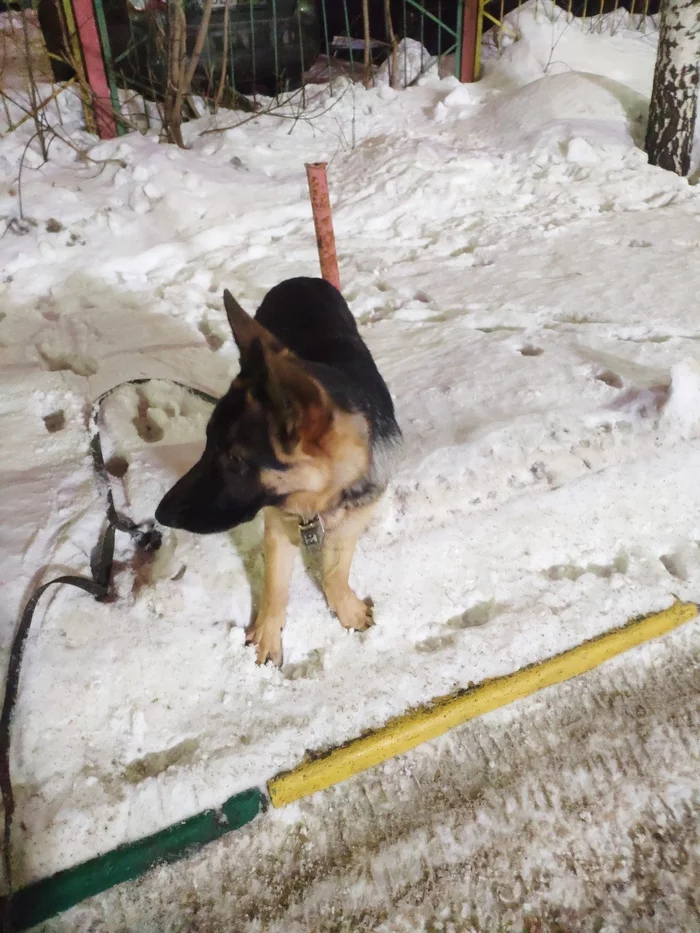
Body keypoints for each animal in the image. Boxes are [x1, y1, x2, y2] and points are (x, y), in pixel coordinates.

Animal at [156, 274, 402, 664]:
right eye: (208, 442)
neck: (319, 498)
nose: (160, 514)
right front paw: (266, 638)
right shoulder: (277, 525)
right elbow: (275, 586)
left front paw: (345, 609)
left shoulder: (354, 518)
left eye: (235, 458)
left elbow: (336, 570)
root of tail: (301, 279)